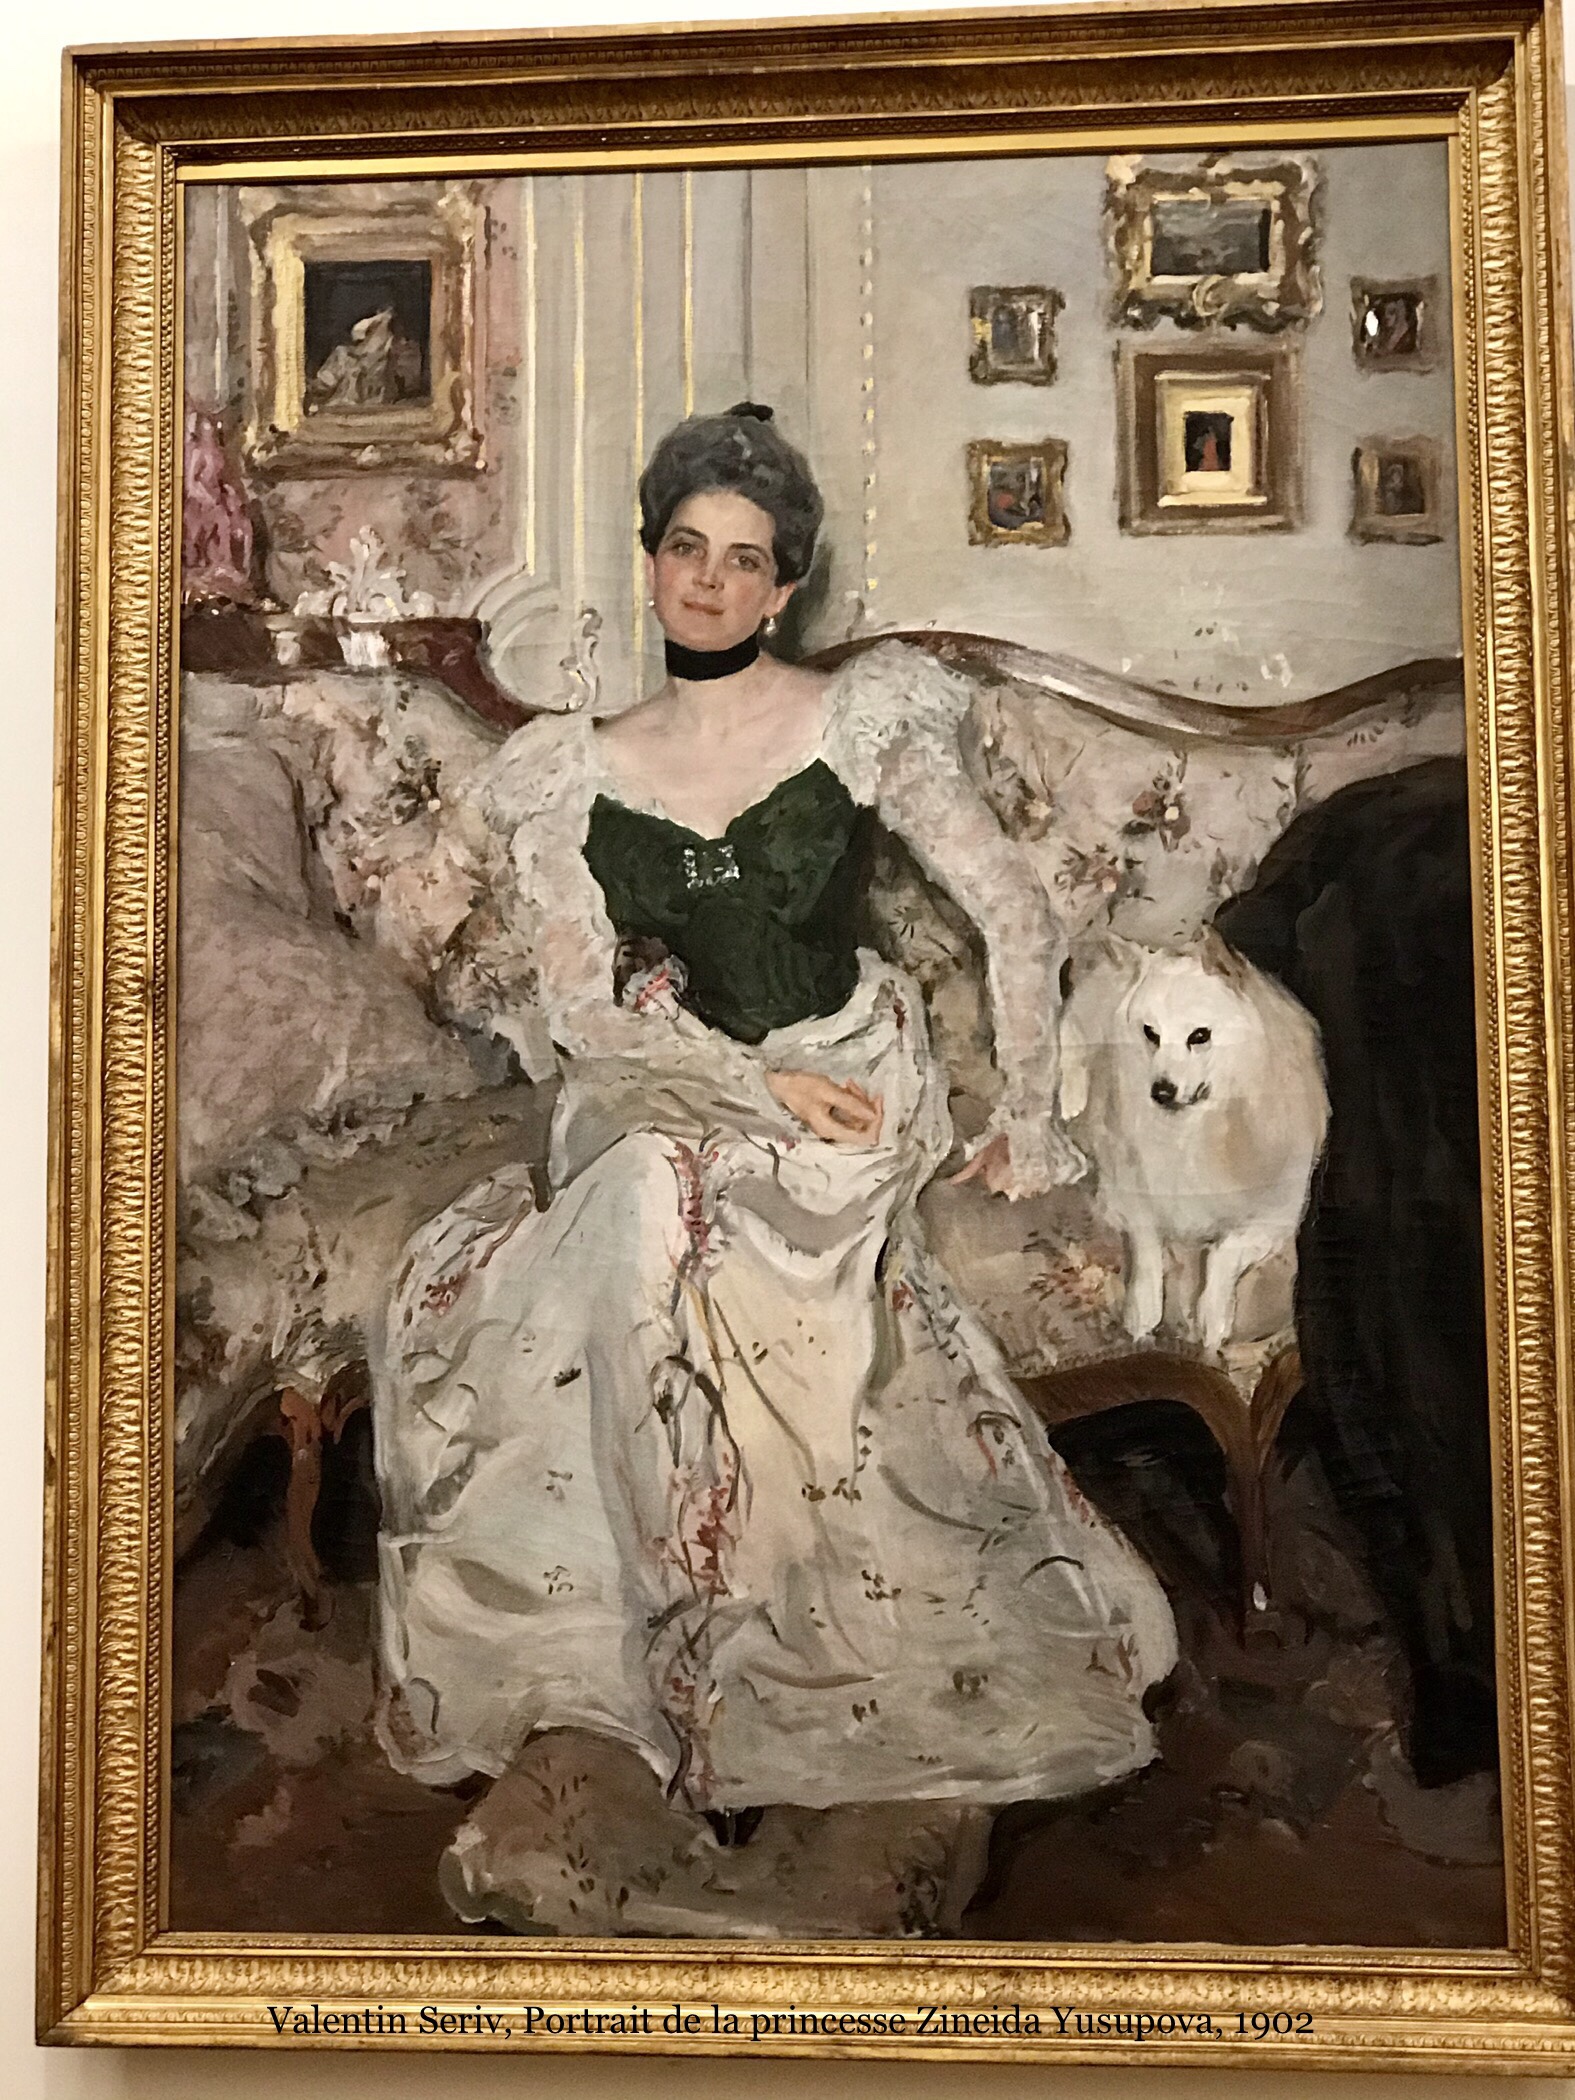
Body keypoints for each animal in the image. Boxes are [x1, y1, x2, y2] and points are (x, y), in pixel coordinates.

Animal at [1057, 930, 1329, 1356]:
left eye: (1199, 1036)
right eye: (1151, 1034)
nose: (1161, 1091)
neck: (1191, 1136)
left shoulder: (1274, 1218)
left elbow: (1222, 1252)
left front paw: (1212, 1318)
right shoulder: (1124, 1195)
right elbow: (1147, 1244)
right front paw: (1143, 1309)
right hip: (1088, 1018)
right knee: (1069, 1035)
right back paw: (1071, 1100)